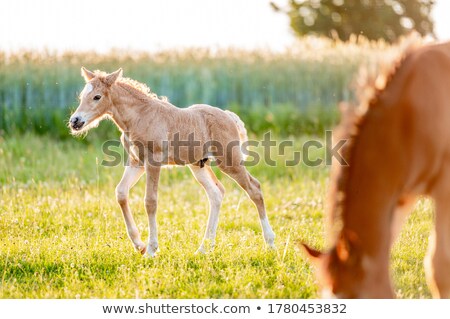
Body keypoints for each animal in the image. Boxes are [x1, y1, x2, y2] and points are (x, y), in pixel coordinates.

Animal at [69, 67, 276, 258]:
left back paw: (270, 243)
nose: (75, 121)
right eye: (81, 96)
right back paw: (203, 249)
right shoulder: (136, 162)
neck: (139, 117)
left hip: (229, 161)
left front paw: (151, 250)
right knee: (216, 193)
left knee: (254, 188)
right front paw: (139, 245)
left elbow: (150, 201)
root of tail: (229, 116)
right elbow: (121, 193)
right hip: (198, 165)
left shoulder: (153, 162)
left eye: (97, 97)